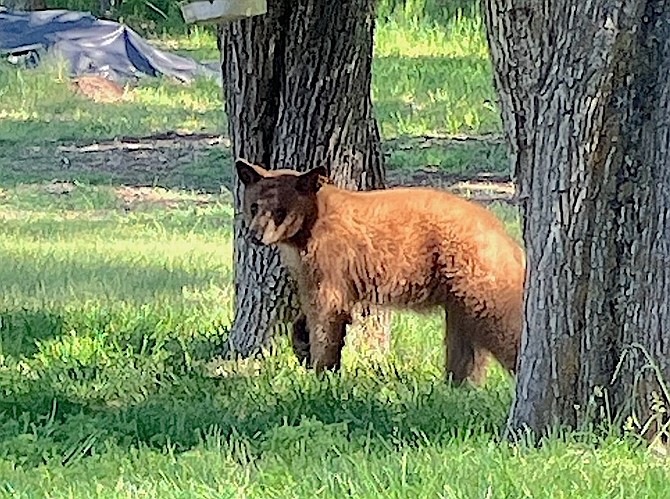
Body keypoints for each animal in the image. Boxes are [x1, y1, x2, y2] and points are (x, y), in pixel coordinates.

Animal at [235, 159, 525, 385]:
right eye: (254, 206)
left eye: (280, 211)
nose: (255, 236)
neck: (308, 228)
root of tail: (504, 236)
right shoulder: (307, 269)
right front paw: (303, 345)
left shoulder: (330, 262)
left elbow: (327, 313)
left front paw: (321, 372)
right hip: (459, 297)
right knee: (466, 345)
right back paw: (458, 387)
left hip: (475, 276)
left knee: (499, 323)